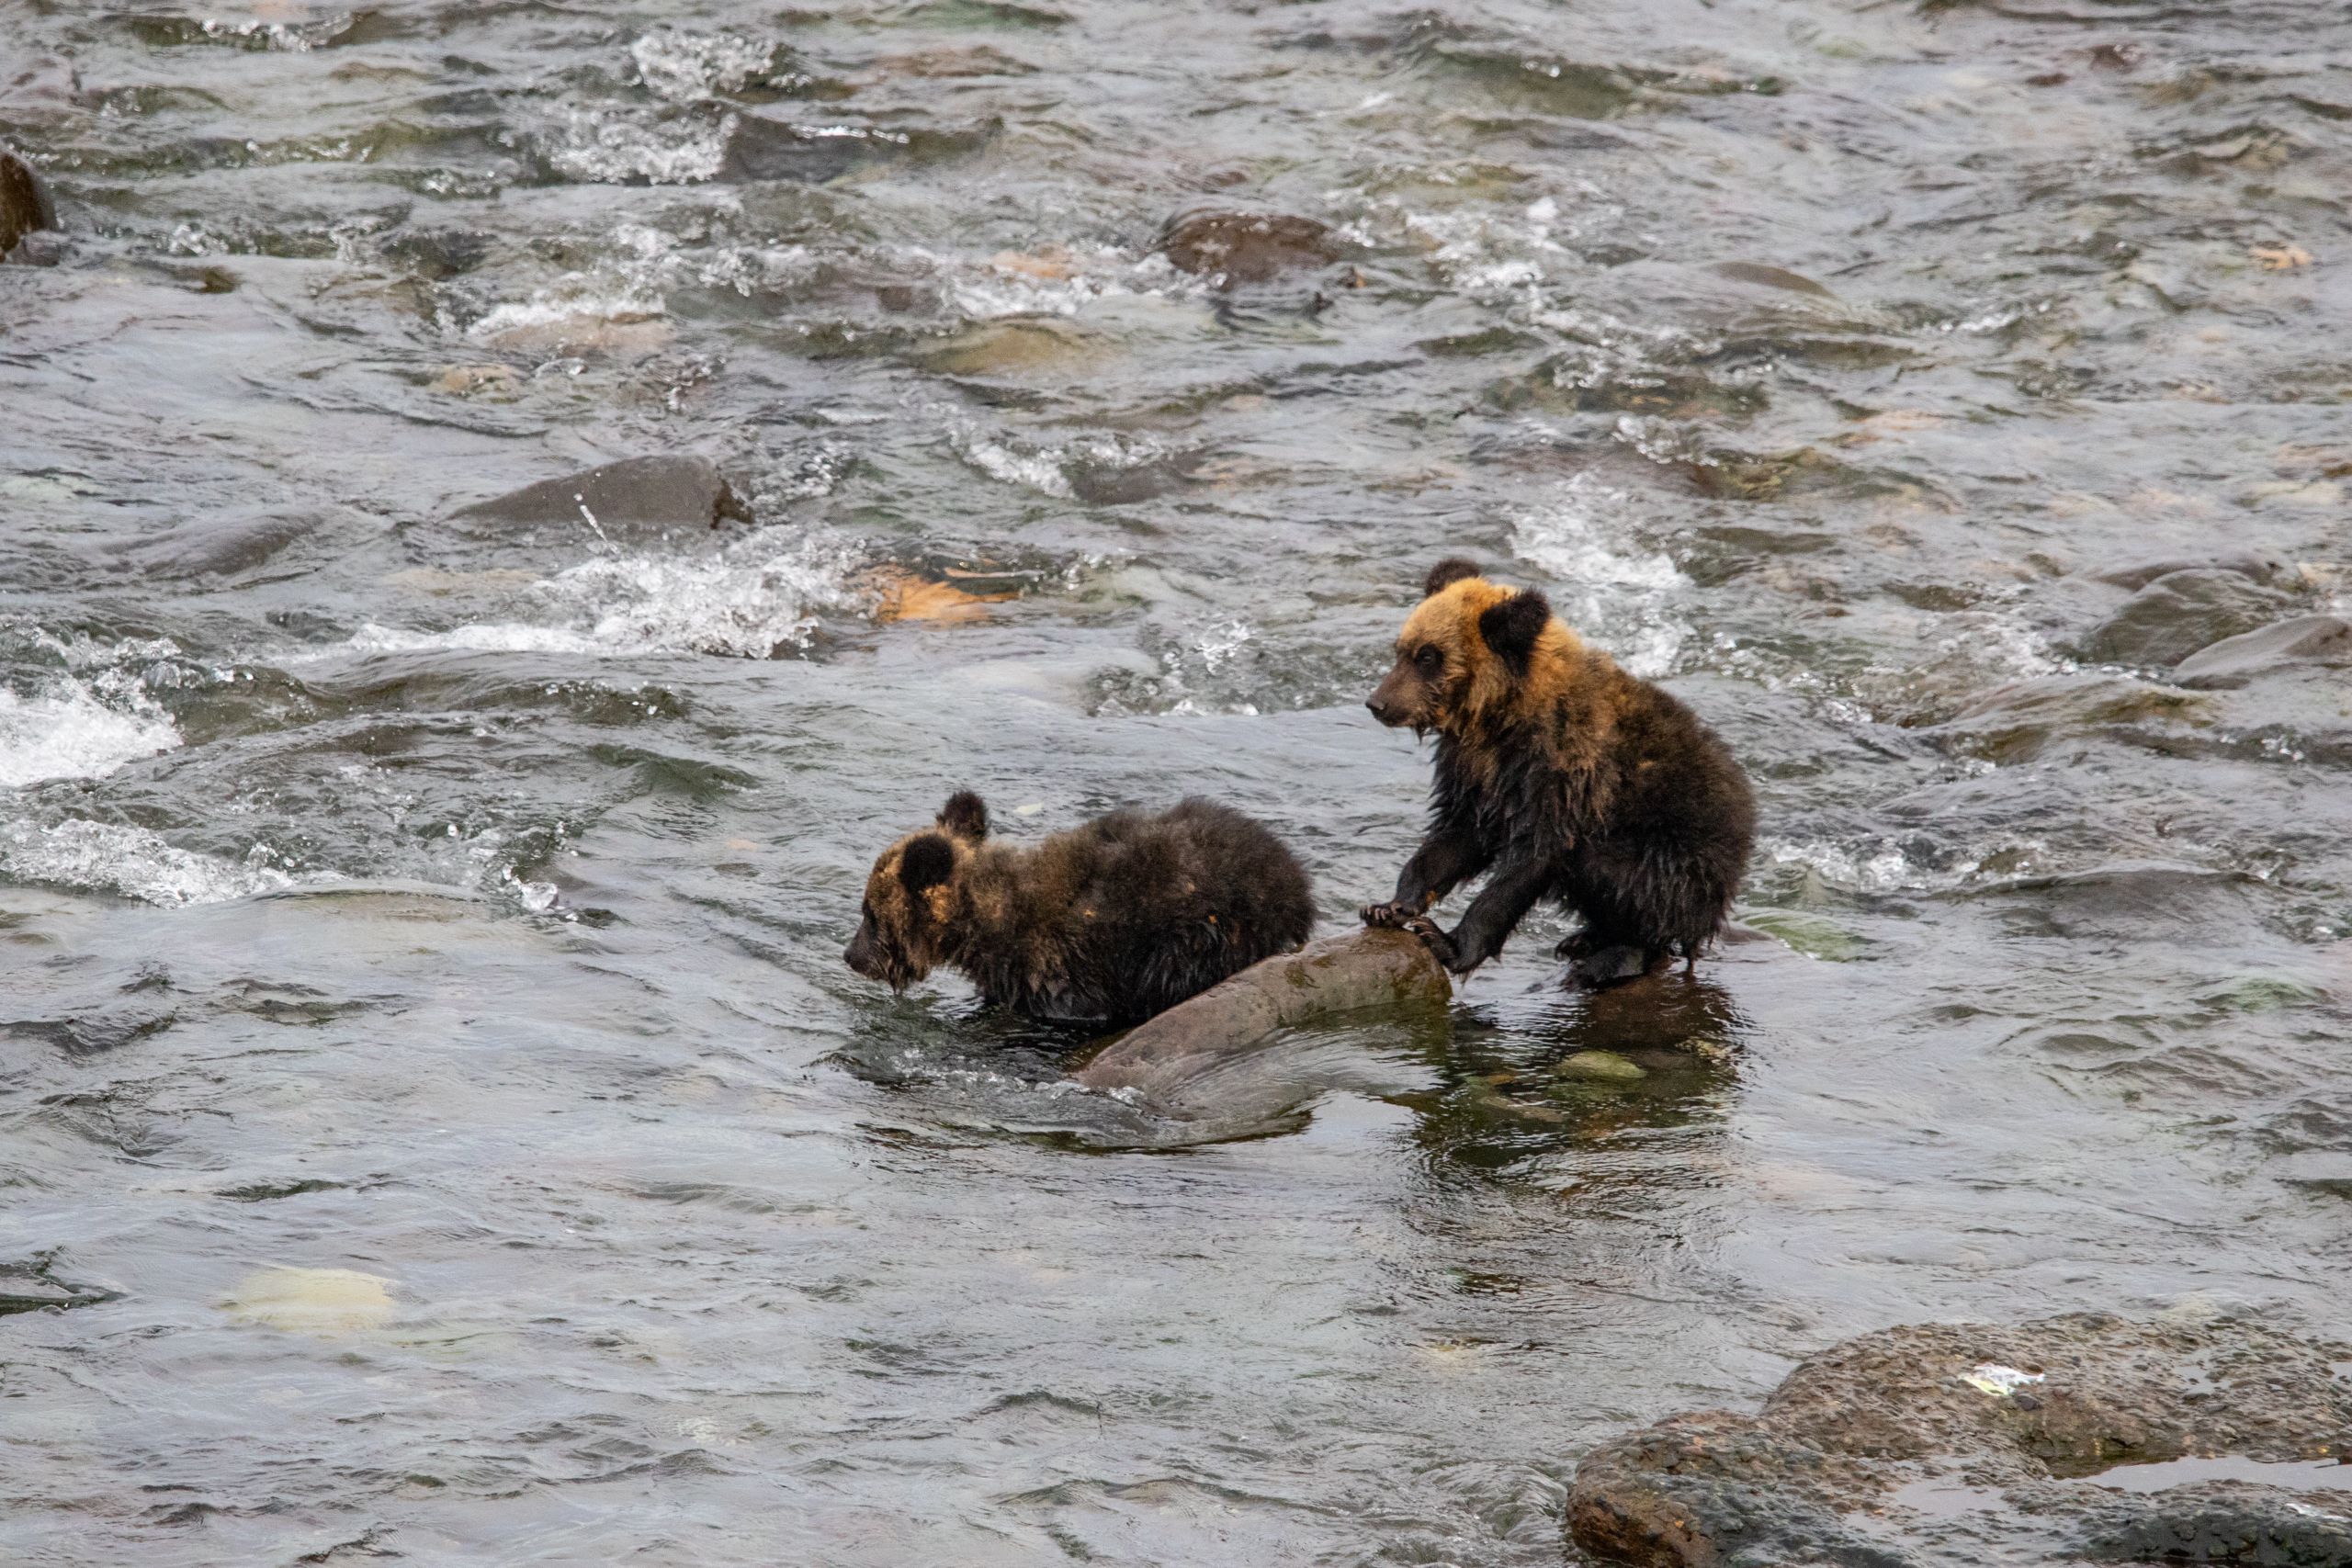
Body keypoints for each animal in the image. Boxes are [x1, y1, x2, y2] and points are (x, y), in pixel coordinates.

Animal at [1360, 557, 1756, 986]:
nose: (1378, 703)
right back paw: (1583, 940)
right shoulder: (1477, 774)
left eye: (1429, 657)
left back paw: (1612, 956)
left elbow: (1530, 861)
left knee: (1625, 883)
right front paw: (1390, 906)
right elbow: (1454, 838)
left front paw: (1447, 943)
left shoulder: (1561, 774)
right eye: (1402, 650)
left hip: (1671, 855)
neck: (1500, 718)